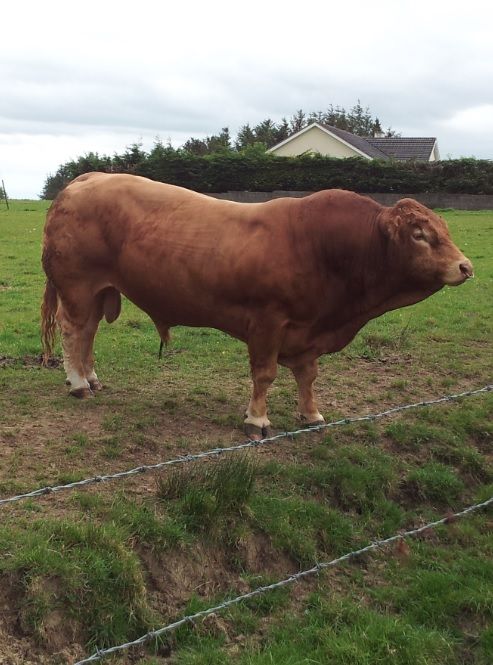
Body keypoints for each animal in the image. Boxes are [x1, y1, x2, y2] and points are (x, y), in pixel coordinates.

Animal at [41, 173, 473, 438]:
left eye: (445, 229)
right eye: (419, 234)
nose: (465, 267)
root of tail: (87, 178)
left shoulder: (308, 330)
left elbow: (308, 376)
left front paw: (311, 415)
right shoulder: (268, 322)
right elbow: (265, 375)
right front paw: (257, 420)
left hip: (99, 290)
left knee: (89, 331)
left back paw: (91, 378)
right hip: (78, 286)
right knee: (73, 330)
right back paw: (77, 384)